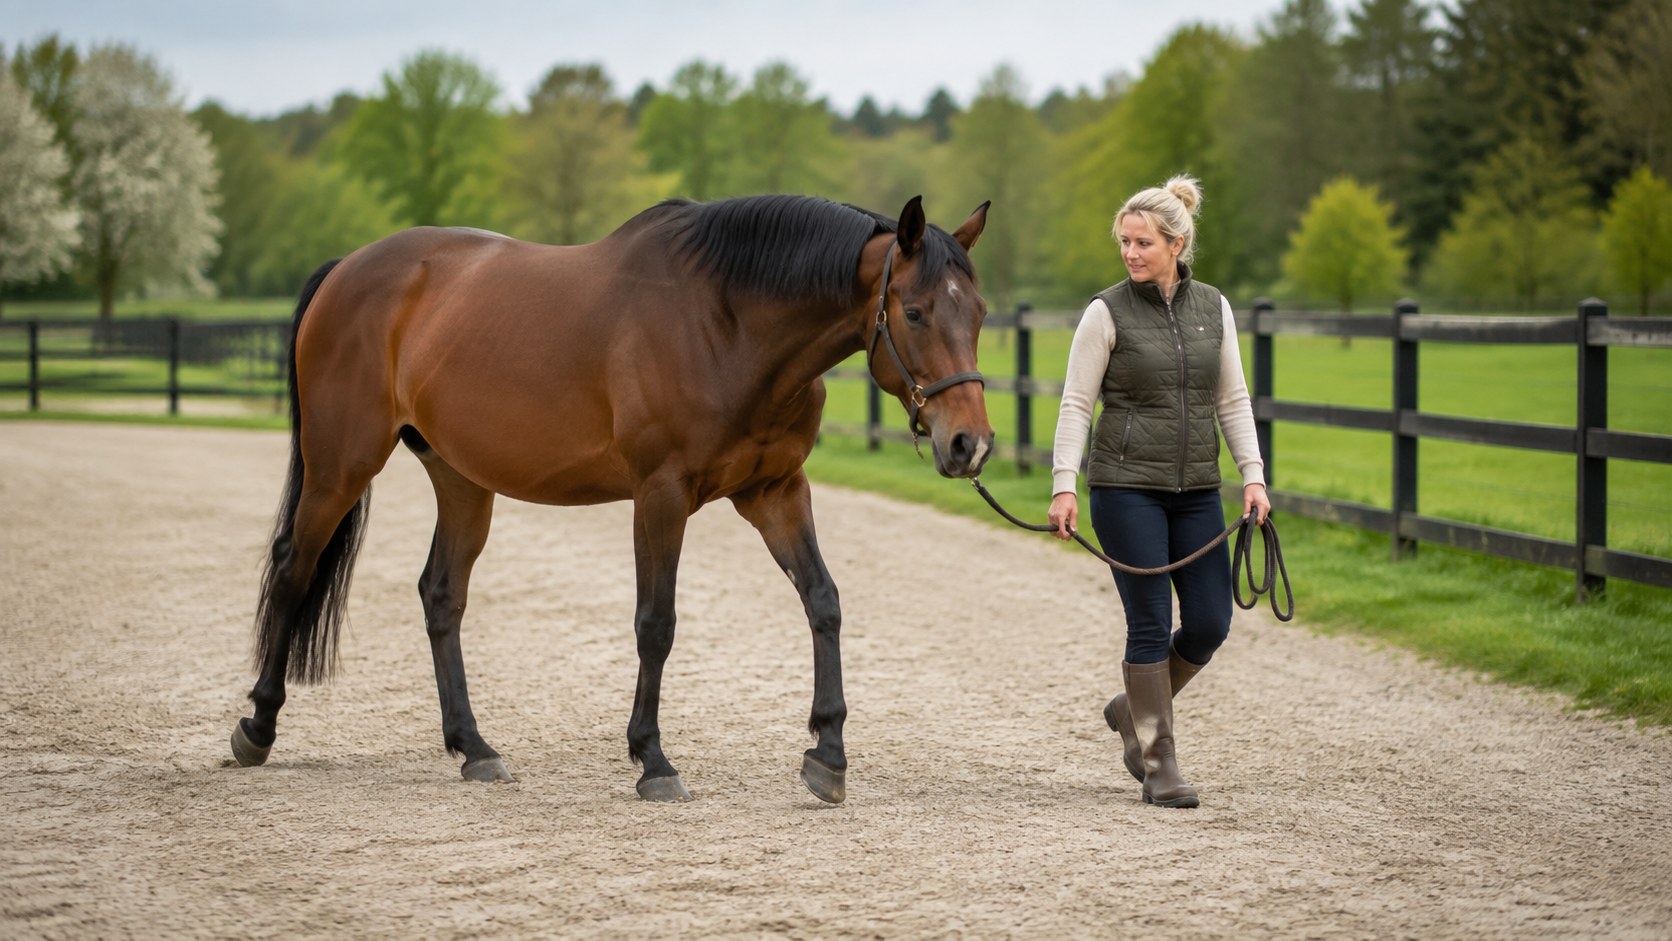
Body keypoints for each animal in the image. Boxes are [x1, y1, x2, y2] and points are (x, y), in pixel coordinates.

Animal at [228, 194, 994, 803]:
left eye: (981, 313)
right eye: (915, 312)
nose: (971, 445)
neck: (725, 321)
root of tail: (347, 269)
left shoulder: (775, 491)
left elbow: (823, 602)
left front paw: (828, 753)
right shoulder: (659, 495)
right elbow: (656, 623)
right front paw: (653, 759)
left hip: (461, 479)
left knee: (440, 595)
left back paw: (474, 747)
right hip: (341, 465)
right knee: (295, 568)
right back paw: (257, 726)